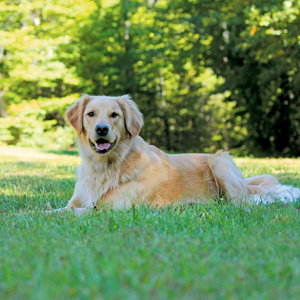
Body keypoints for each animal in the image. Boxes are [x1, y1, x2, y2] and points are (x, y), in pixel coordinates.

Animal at [64, 95, 300, 212]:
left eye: (114, 115)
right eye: (91, 114)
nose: (101, 129)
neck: (105, 165)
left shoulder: (111, 209)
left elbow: (70, 215)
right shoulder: (77, 201)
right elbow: (59, 211)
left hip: (220, 160)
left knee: (240, 203)